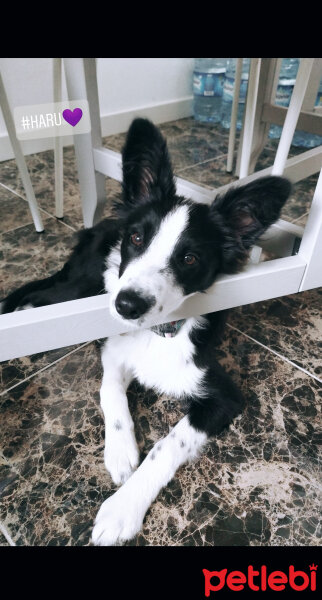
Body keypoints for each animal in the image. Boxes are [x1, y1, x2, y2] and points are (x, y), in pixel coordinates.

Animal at [0, 117, 292, 544]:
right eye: (137, 238)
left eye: (190, 258)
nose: (126, 305)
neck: (156, 332)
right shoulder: (115, 345)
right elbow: (108, 389)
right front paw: (120, 452)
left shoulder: (224, 396)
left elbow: (167, 445)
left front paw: (121, 509)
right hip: (82, 285)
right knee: (43, 292)